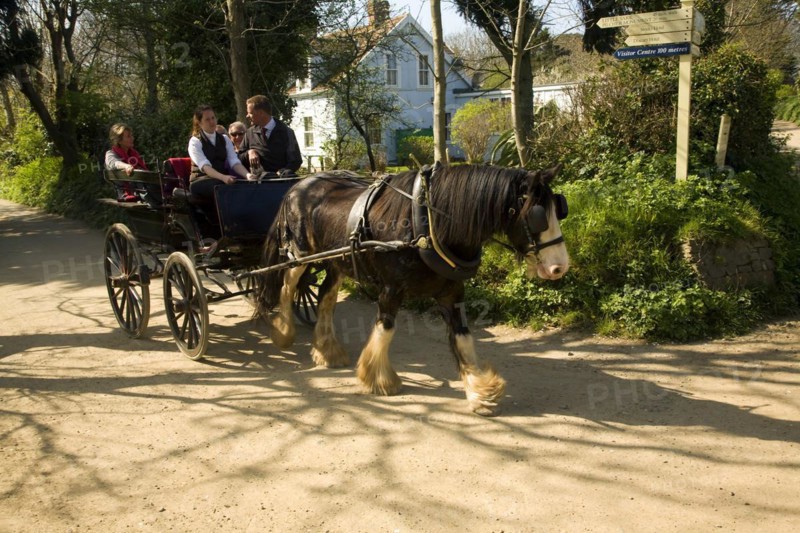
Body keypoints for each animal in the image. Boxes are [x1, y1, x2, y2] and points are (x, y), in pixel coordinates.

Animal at [256, 163, 569, 416]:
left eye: (560, 209)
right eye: (538, 216)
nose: (560, 267)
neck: (426, 224)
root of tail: (299, 184)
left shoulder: (452, 292)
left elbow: (463, 338)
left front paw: (480, 391)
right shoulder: (391, 289)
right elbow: (386, 328)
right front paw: (378, 378)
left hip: (337, 261)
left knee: (325, 296)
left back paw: (327, 350)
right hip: (299, 254)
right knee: (287, 287)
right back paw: (283, 332)